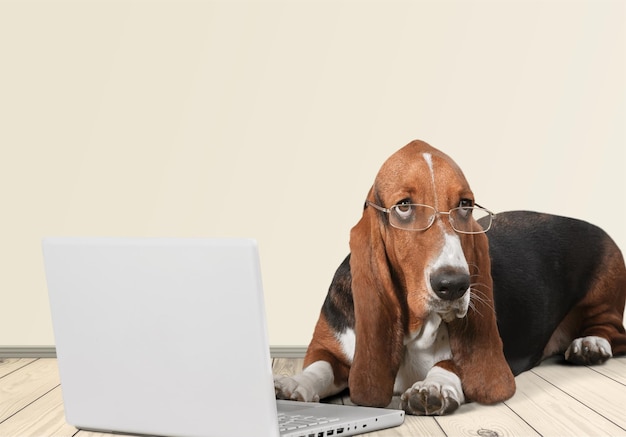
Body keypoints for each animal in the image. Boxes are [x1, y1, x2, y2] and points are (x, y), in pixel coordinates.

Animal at [274, 140, 624, 416]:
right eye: (404, 206)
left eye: (465, 205)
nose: (454, 285)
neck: (414, 329)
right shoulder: (328, 349)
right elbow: (319, 366)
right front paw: (292, 384)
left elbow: (451, 363)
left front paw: (433, 388)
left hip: (604, 297)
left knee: (613, 331)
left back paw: (590, 344)